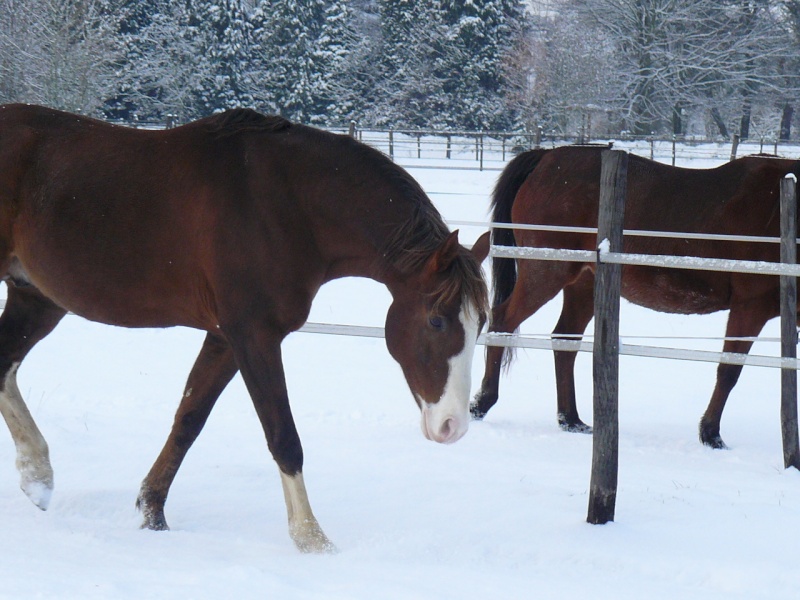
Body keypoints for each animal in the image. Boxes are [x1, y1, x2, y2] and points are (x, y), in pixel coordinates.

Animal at [0, 104, 490, 552]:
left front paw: (152, 513)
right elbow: (283, 436)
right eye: (436, 319)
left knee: (5, 367)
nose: (452, 426)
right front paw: (312, 539)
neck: (287, 205)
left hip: (37, 298)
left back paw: (37, 476)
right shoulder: (253, 335)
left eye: (481, 322)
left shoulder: (224, 338)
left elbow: (188, 421)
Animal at [468, 146, 800, 450]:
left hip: (584, 284)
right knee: (502, 322)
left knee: (565, 341)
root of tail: (546, 157)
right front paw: (710, 433)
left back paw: (571, 419)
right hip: (545, 273)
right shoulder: (750, 307)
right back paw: (483, 402)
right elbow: (729, 370)